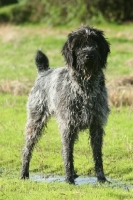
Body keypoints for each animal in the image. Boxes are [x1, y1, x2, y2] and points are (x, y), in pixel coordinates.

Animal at [20, 25, 110, 184]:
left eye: (95, 42)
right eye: (79, 44)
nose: (89, 55)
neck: (85, 87)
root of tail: (43, 71)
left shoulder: (96, 125)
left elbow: (97, 155)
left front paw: (101, 179)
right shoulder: (68, 125)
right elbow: (68, 153)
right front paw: (68, 180)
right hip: (35, 122)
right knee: (27, 149)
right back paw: (24, 173)